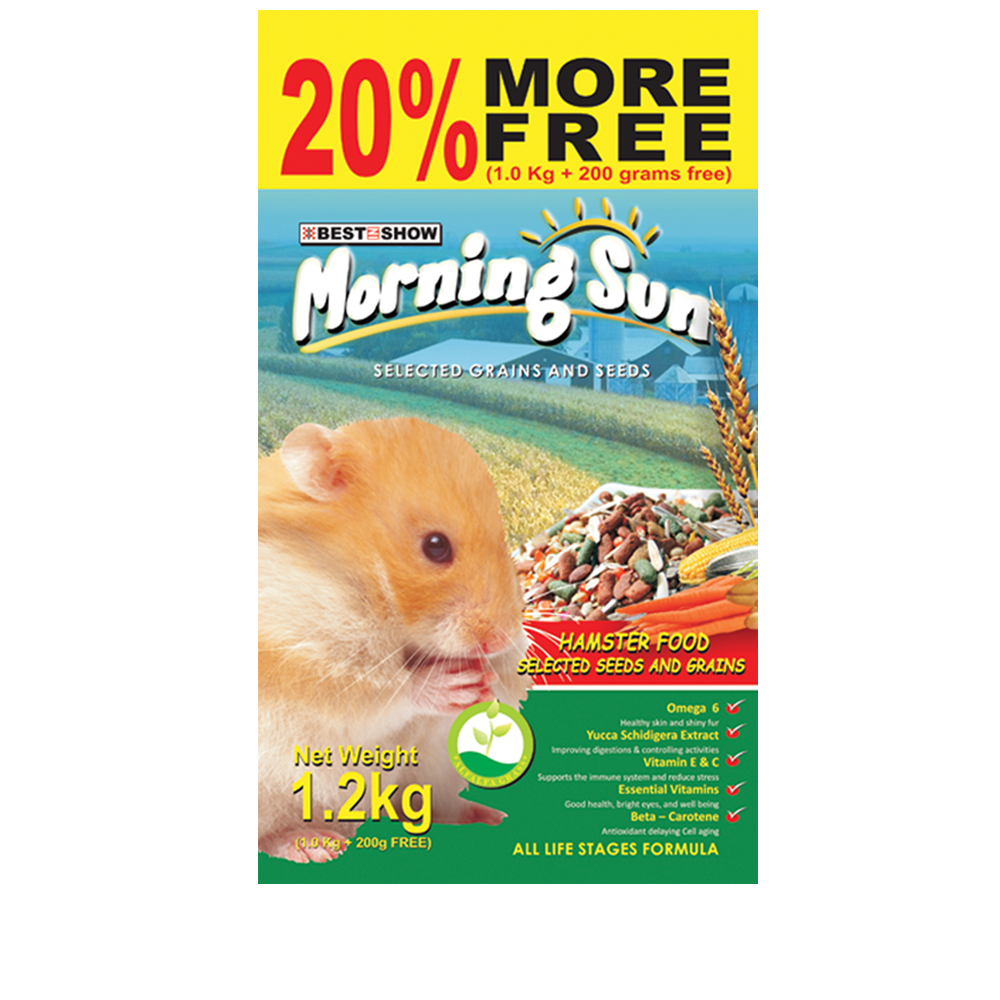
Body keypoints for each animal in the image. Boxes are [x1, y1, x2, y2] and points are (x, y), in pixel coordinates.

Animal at [259, 417, 530, 862]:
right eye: (435, 546)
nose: (497, 640)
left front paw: (486, 682)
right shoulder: (309, 661)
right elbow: (385, 691)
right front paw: (449, 683)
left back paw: (488, 815)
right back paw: (315, 845)